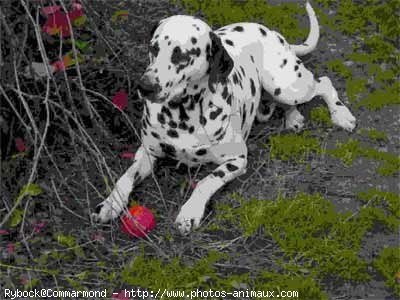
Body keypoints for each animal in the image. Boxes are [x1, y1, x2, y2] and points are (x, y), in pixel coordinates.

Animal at [92, 1, 354, 234]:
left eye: (182, 55)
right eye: (154, 48)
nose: (144, 87)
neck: (182, 112)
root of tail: (272, 32)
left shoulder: (237, 160)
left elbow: (206, 181)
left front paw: (190, 212)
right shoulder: (147, 153)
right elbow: (125, 177)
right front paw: (110, 203)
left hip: (286, 84)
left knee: (323, 83)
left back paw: (340, 114)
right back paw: (292, 117)